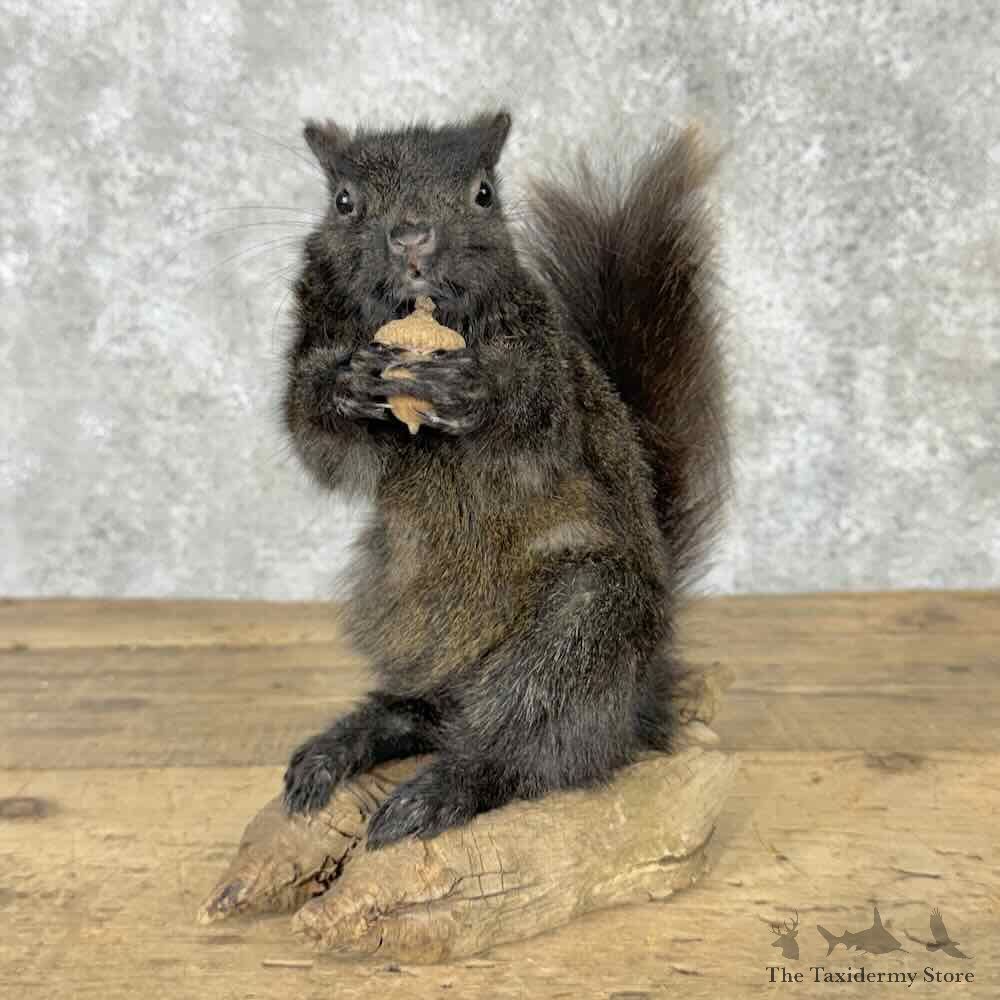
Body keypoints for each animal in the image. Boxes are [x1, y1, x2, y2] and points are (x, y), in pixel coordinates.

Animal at [280, 110, 729, 849]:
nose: (411, 234)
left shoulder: (550, 371)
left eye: (484, 193)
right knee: (423, 712)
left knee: (519, 750)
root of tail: (643, 697)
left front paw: (473, 389)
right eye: (343, 200)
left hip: (581, 632)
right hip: (402, 615)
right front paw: (348, 384)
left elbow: (535, 425)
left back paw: (442, 789)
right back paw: (347, 743)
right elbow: (315, 436)